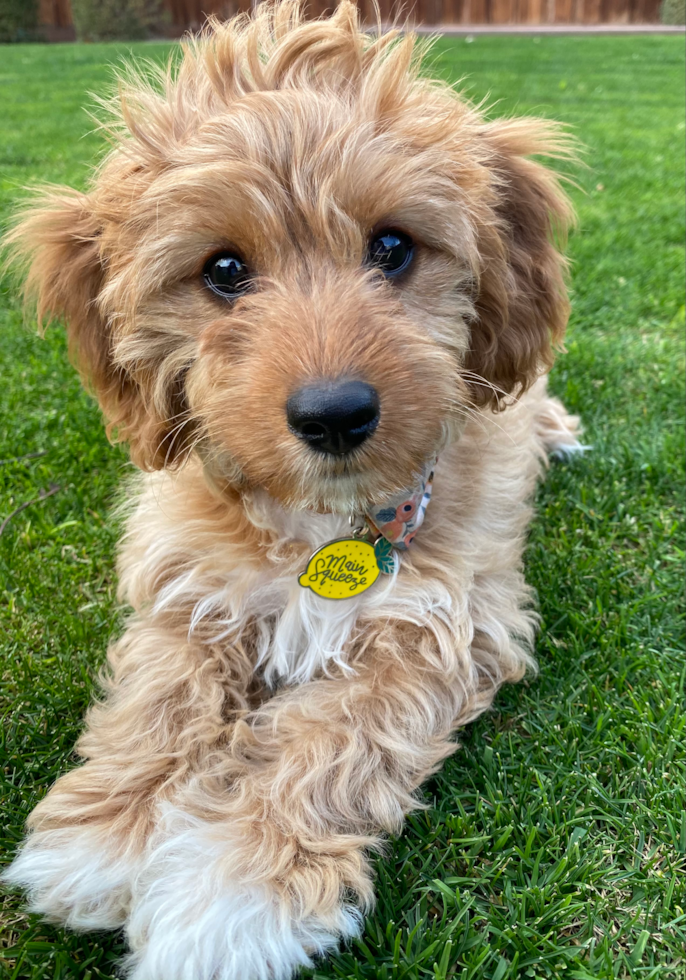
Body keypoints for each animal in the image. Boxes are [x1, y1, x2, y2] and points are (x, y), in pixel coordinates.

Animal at [4, 3, 584, 976]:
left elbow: (330, 740)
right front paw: (108, 832)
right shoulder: (188, 585)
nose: (335, 414)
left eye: (393, 247)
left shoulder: (441, 625)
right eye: (223, 270)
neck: (322, 524)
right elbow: (161, 698)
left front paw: (229, 896)